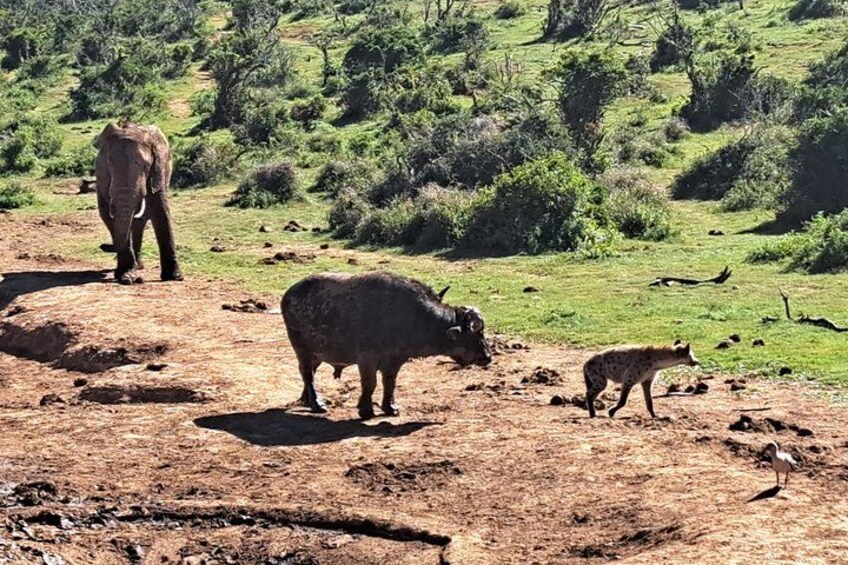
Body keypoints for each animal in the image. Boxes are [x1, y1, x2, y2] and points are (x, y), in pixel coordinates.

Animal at [95, 122, 183, 285]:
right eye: (108, 166)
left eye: (145, 166)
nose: (104, 246)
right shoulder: (102, 179)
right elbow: (107, 216)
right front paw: (127, 276)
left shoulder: (157, 172)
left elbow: (161, 212)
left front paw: (174, 277)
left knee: (139, 222)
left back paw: (139, 265)